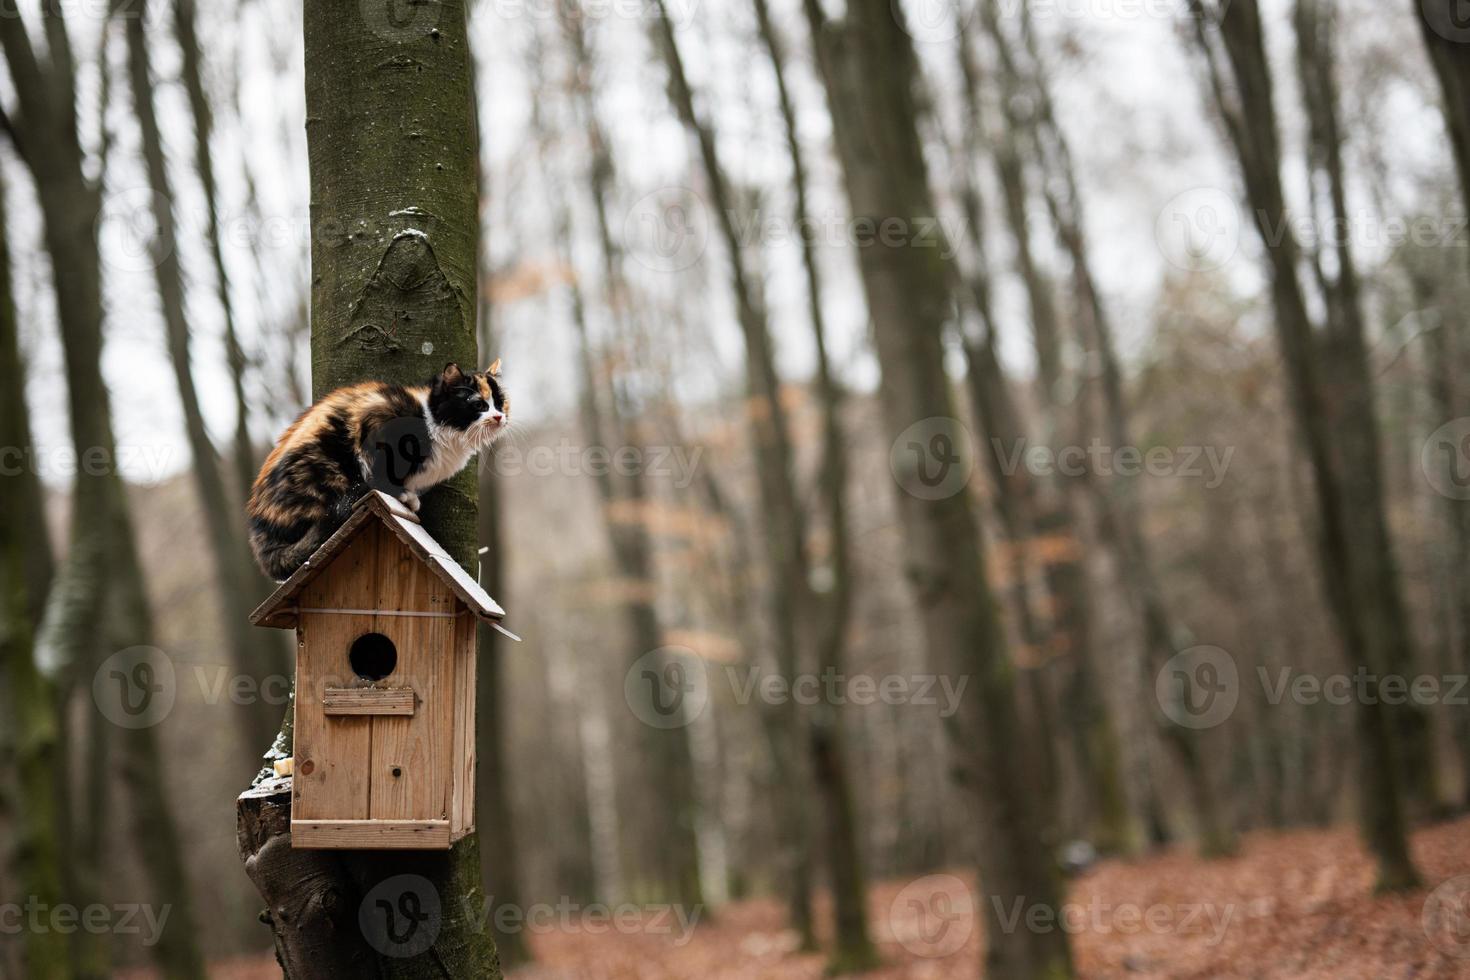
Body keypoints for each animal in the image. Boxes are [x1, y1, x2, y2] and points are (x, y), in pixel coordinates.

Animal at [248, 359, 511, 578]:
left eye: (500, 403)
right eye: (478, 404)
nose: (499, 417)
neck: (435, 424)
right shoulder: (378, 421)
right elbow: (380, 473)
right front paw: (403, 495)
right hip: (324, 468)